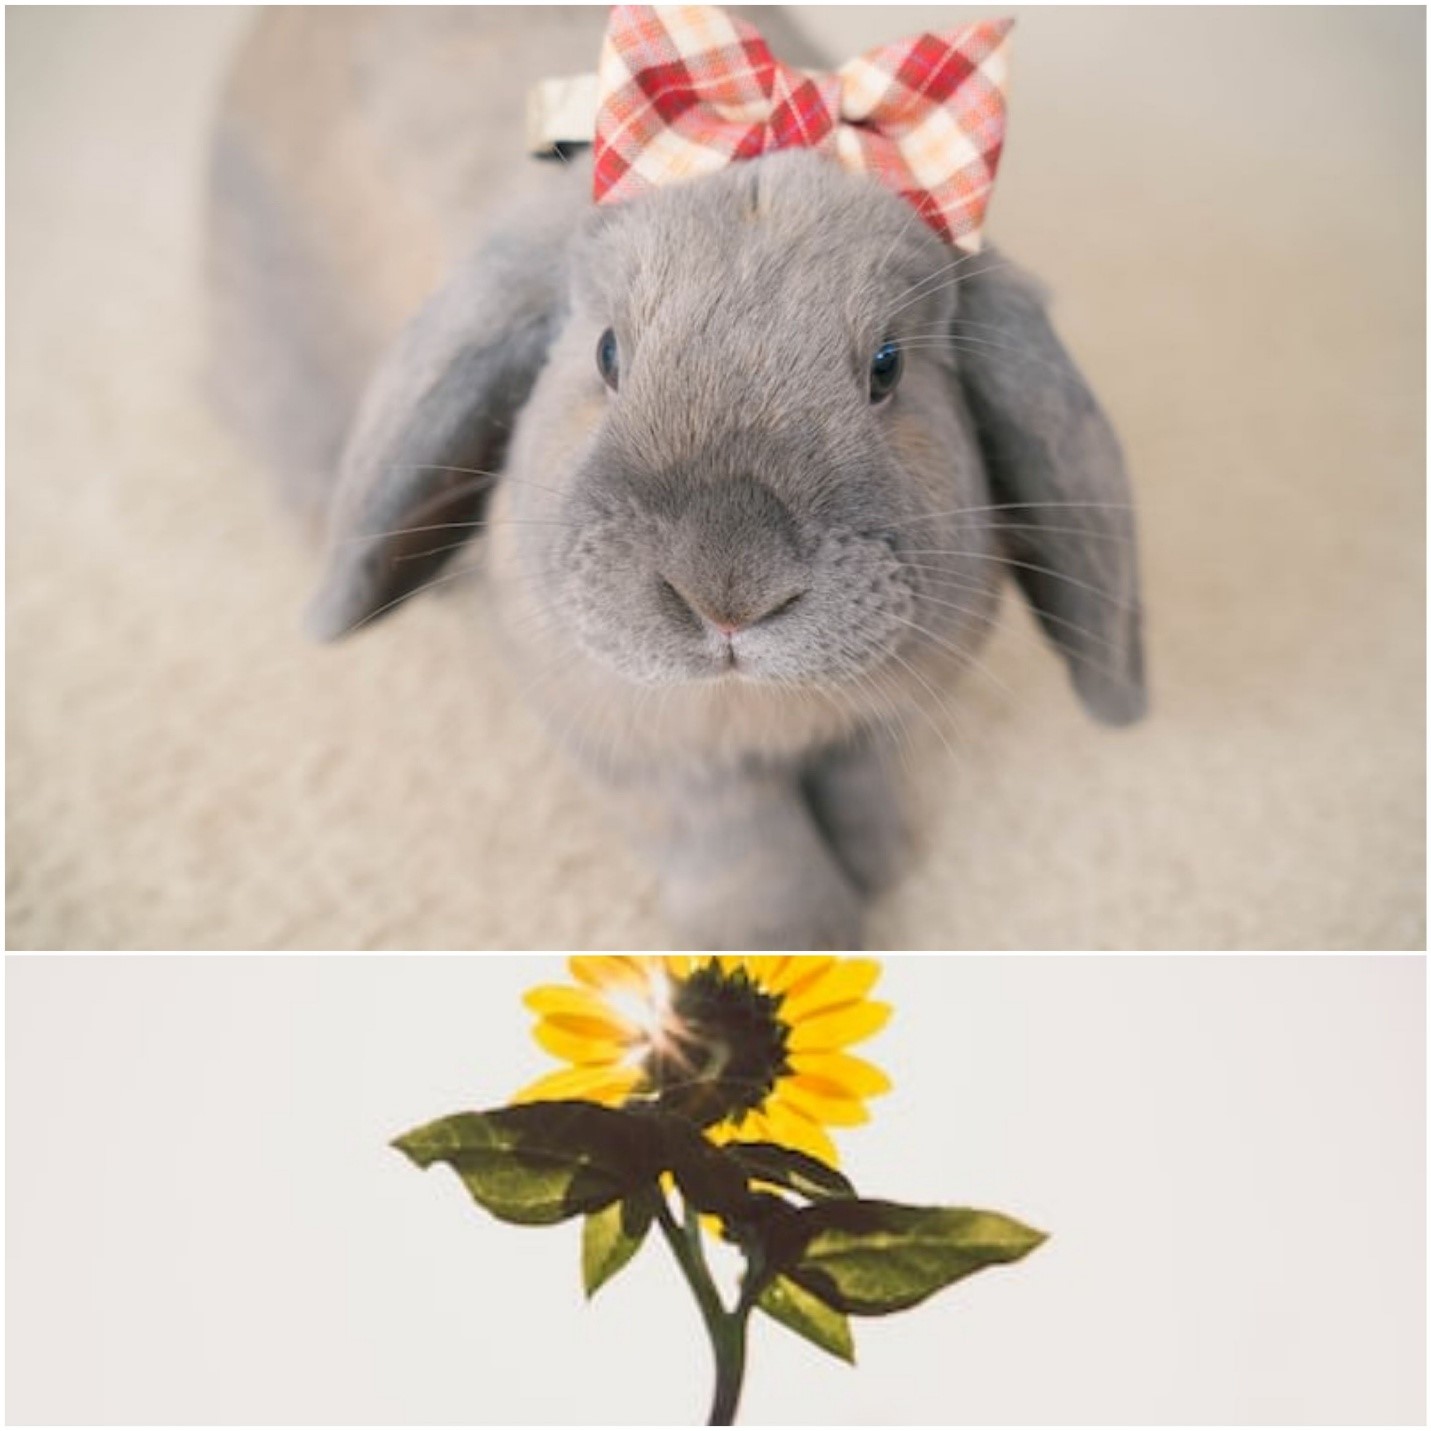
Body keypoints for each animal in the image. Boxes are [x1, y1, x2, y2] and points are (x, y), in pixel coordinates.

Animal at [207, 6, 1146, 951]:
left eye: (888, 367)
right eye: (606, 353)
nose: (726, 593)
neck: (757, 710)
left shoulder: (878, 724)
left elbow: (861, 776)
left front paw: (877, 859)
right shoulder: (649, 759)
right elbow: (744, 849)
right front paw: (789, 941)